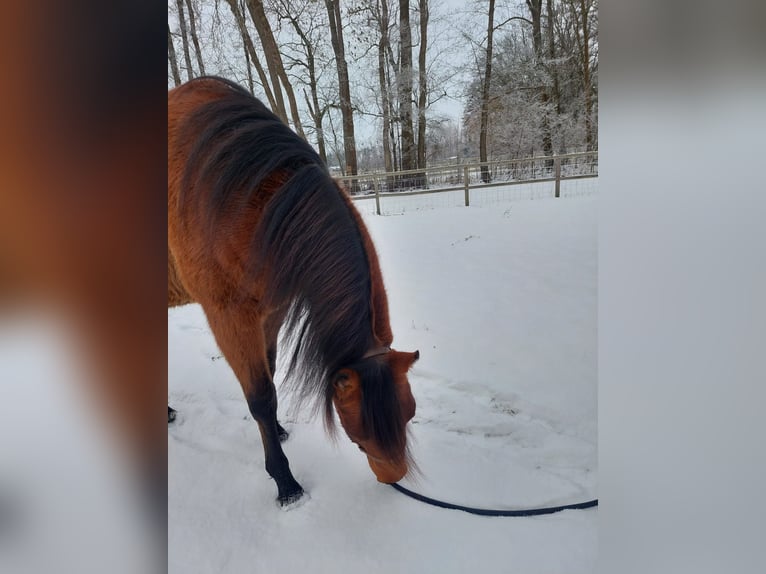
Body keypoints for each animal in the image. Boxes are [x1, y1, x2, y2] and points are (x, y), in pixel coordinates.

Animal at [168, 76, 419, 506]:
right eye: (360, 434)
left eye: (409, 414)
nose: (393, 477)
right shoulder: (229, 316)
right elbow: (260, 396)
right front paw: (285, 482)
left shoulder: (271, 311)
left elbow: (269, 378)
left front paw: (280, 433)